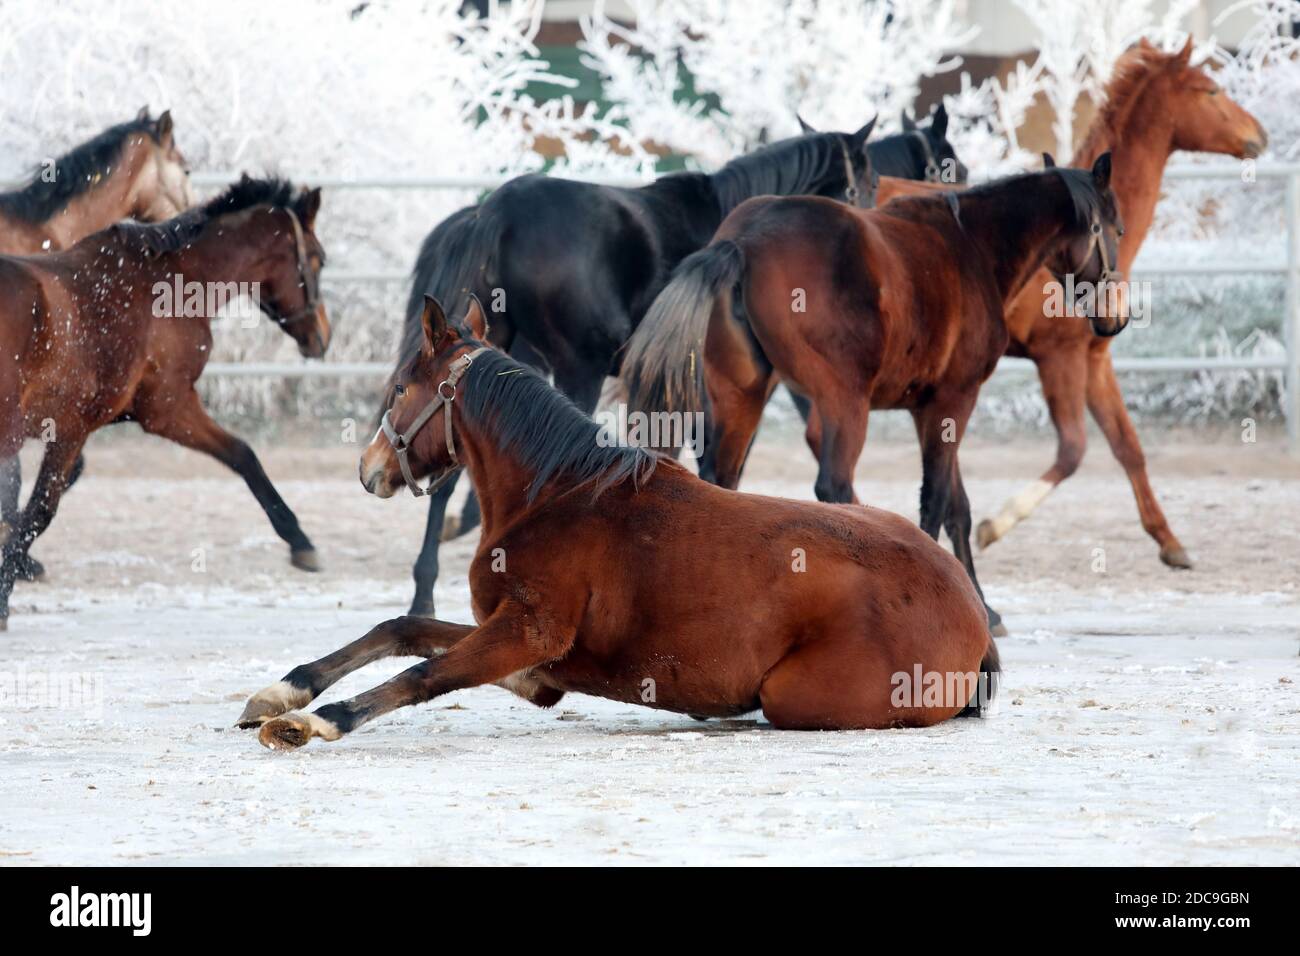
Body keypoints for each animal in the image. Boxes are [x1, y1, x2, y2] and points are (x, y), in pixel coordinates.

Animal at [0, 176, 330, 632]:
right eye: (318, 260)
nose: (322, 338)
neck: (170, 282)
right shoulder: (160, 409)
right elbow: (39, 511)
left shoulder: (104, 422)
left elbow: (241, 455)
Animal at [236, 297, 993, 749]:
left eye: (399, 388)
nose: (369, 468)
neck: (557, 495)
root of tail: (972, 612)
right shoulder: (534, 658)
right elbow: (405, 630)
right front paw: (282, 691)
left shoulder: (529, 630)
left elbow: (425, 672)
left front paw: (311, 721)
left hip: (792, 696)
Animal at [384, 113, 967, 621]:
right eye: (867, 178)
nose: (872, 219)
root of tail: (495, 212)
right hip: (577, 366)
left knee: (448, 472)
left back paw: (424, 591)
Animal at [624, 157, 1123, 634]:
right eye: (1116, 229)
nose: (1114, 318)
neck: (972, 245)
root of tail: (743, 240)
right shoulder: (954, 398)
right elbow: (936, 498)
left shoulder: (931, 408)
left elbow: (957, 505)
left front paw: (984, 605)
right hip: (843, 400)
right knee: (834, 484)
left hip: (742, 394)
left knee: (722, 479)